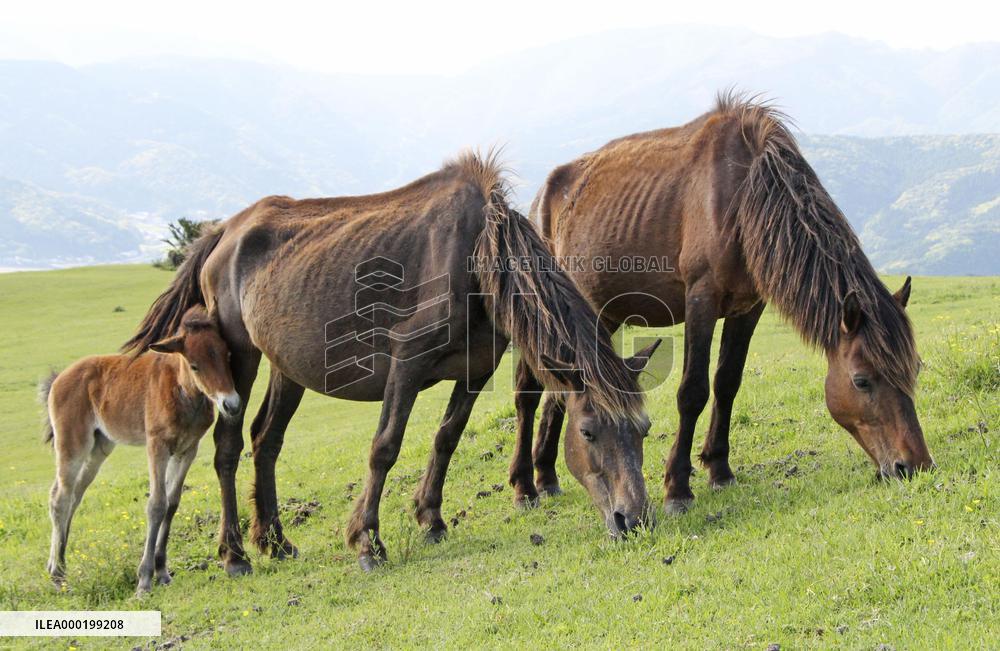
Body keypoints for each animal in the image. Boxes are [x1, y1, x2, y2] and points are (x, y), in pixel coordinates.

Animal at [42, 305, 238, 596]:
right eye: (195, 365)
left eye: (227, 355)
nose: (231, 405)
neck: (181, 391)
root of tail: (58, 380)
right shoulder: (157, 446)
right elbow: (156, 504)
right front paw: (144, 580)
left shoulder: (187, 449)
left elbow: (172, 503)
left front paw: (162, 571)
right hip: (72, 445)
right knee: (60, 497)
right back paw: (57, 573)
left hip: (99, 448)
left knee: (75, 496)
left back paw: (61, 564)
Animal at [123, 151, 662, 574]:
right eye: (588, 432)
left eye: (644, 428)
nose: (634, 520)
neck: (477, 256)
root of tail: (223, 231)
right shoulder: (407, 362)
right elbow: (385, 447)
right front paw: (367, 542)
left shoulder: (475, 371)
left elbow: (446, 438)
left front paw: (431, 519)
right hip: (240, 356)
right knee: (228, 447)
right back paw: (235, 554)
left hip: (286, 367)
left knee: (266, 440)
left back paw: (274, 541)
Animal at [510, 92, 935, 514]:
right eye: (862, 381)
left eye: (914, 367)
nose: (914, 465)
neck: (744, 196)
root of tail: (542, 196)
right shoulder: (702, 298)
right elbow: (693, 391)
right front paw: (678, 489)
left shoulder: (748, 308)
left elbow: (727, 382)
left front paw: (719, 469)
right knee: (529, 393)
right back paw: (525, 487)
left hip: (601, 314)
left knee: (562, 391)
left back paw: (547, 477)